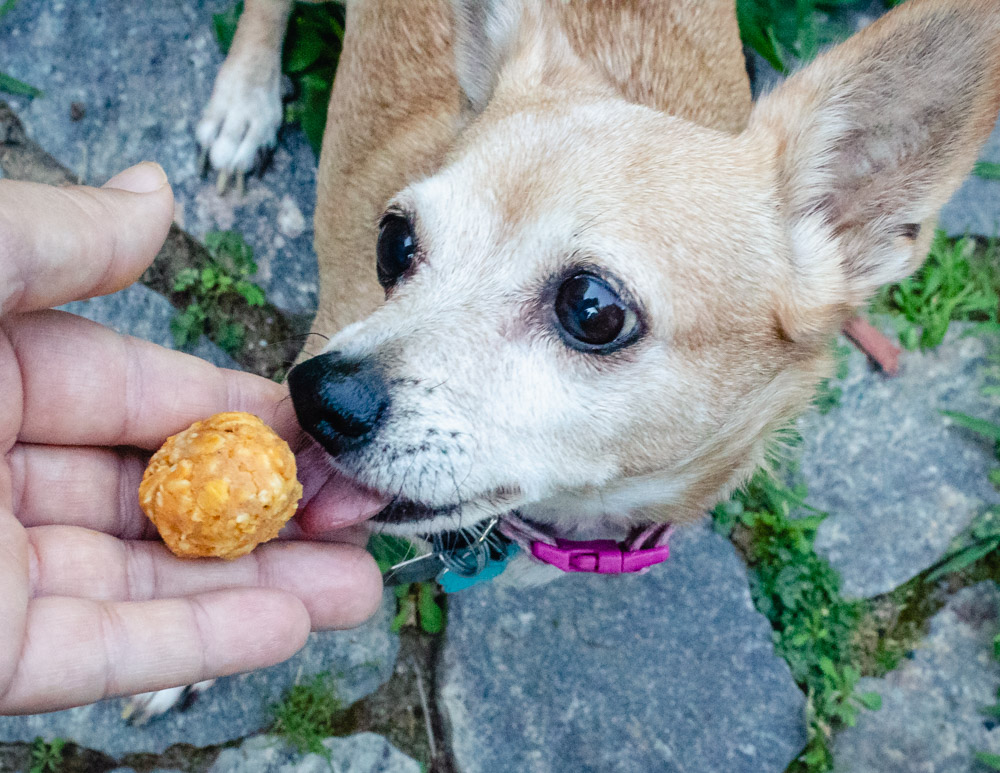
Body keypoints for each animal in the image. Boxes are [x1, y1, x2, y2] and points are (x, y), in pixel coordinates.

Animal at [134, 0, 1000, 722]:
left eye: (593, 309)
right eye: (394, 242)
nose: (318, 397)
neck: (572, 511)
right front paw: (186, 666)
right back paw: (245, 98)